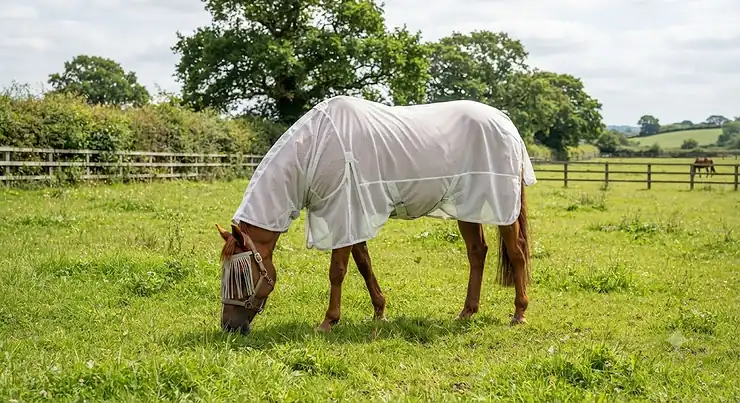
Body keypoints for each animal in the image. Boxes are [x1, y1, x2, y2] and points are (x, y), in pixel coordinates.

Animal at [216, 95, 537, 335]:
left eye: (241, 275)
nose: (229, 327)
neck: (315, 147)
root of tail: (505, 122)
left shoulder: (343, 213)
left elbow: (337, 271)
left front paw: (328, 321)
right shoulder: (352, 218)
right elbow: (364, 265)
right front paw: (380, 311)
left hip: (502, 209)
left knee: (517, 251)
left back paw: (519, 313)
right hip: (467, 207)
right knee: (477, 252)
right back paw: (467, 312)